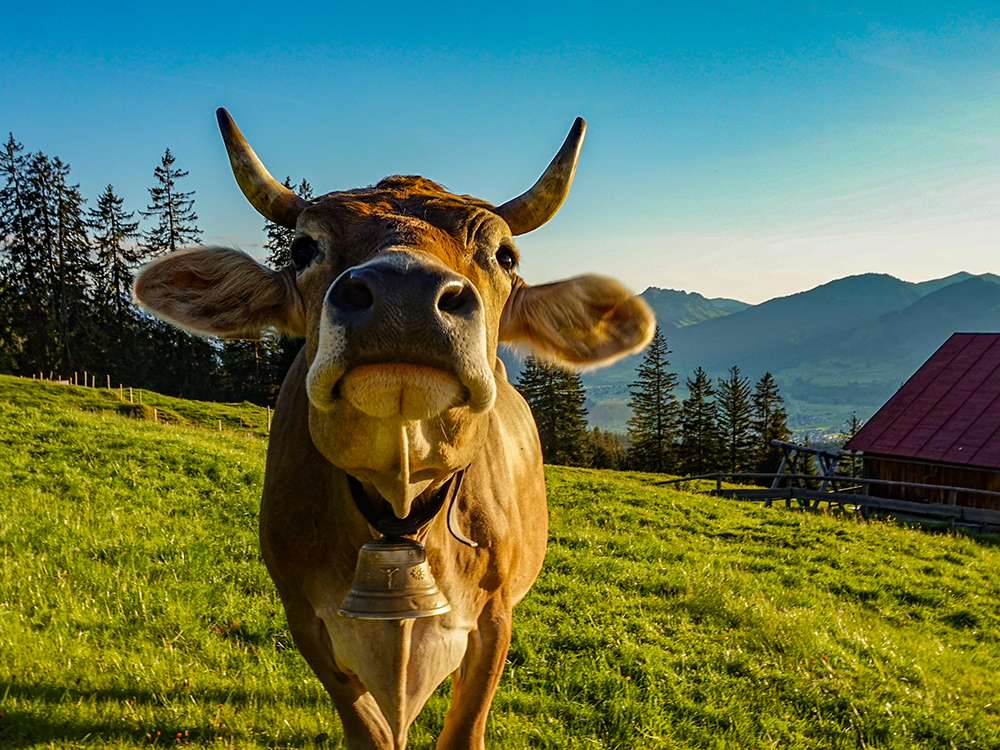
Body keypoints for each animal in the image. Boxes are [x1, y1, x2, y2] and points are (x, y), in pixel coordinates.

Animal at [137, 107, 656, 750]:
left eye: (505, 256)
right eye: (303, 247)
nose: (404, 293)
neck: (399, 503)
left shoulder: (494, 617)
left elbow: (464, 727)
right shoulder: (304, 617)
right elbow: (366, 728)